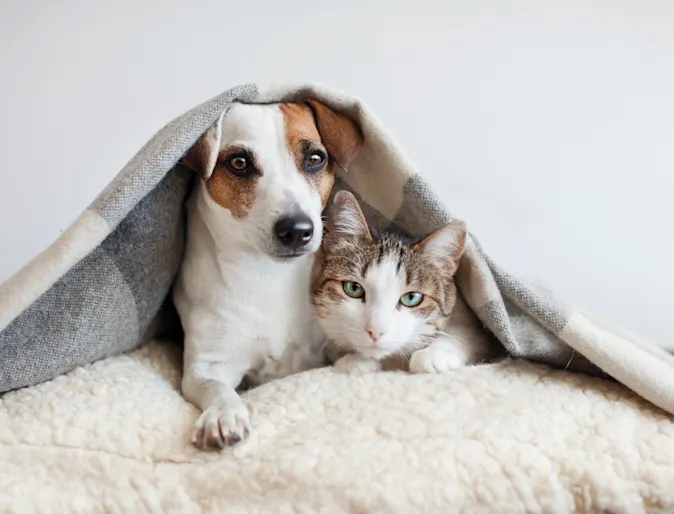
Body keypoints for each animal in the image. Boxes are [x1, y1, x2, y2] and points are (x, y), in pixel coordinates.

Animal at [173, 97, 362, 448]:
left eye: (315, 159)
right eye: (239, 163)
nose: (297, 230)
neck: (269, 276)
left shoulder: (331, 342)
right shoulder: (207, 365)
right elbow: (214, 387)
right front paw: (223, 414)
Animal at [310, 190, 494, 374]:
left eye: (412, 298)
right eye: (353, 288)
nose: (375, 331)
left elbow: (464, 332)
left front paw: (434, 353)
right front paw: (355, 360)